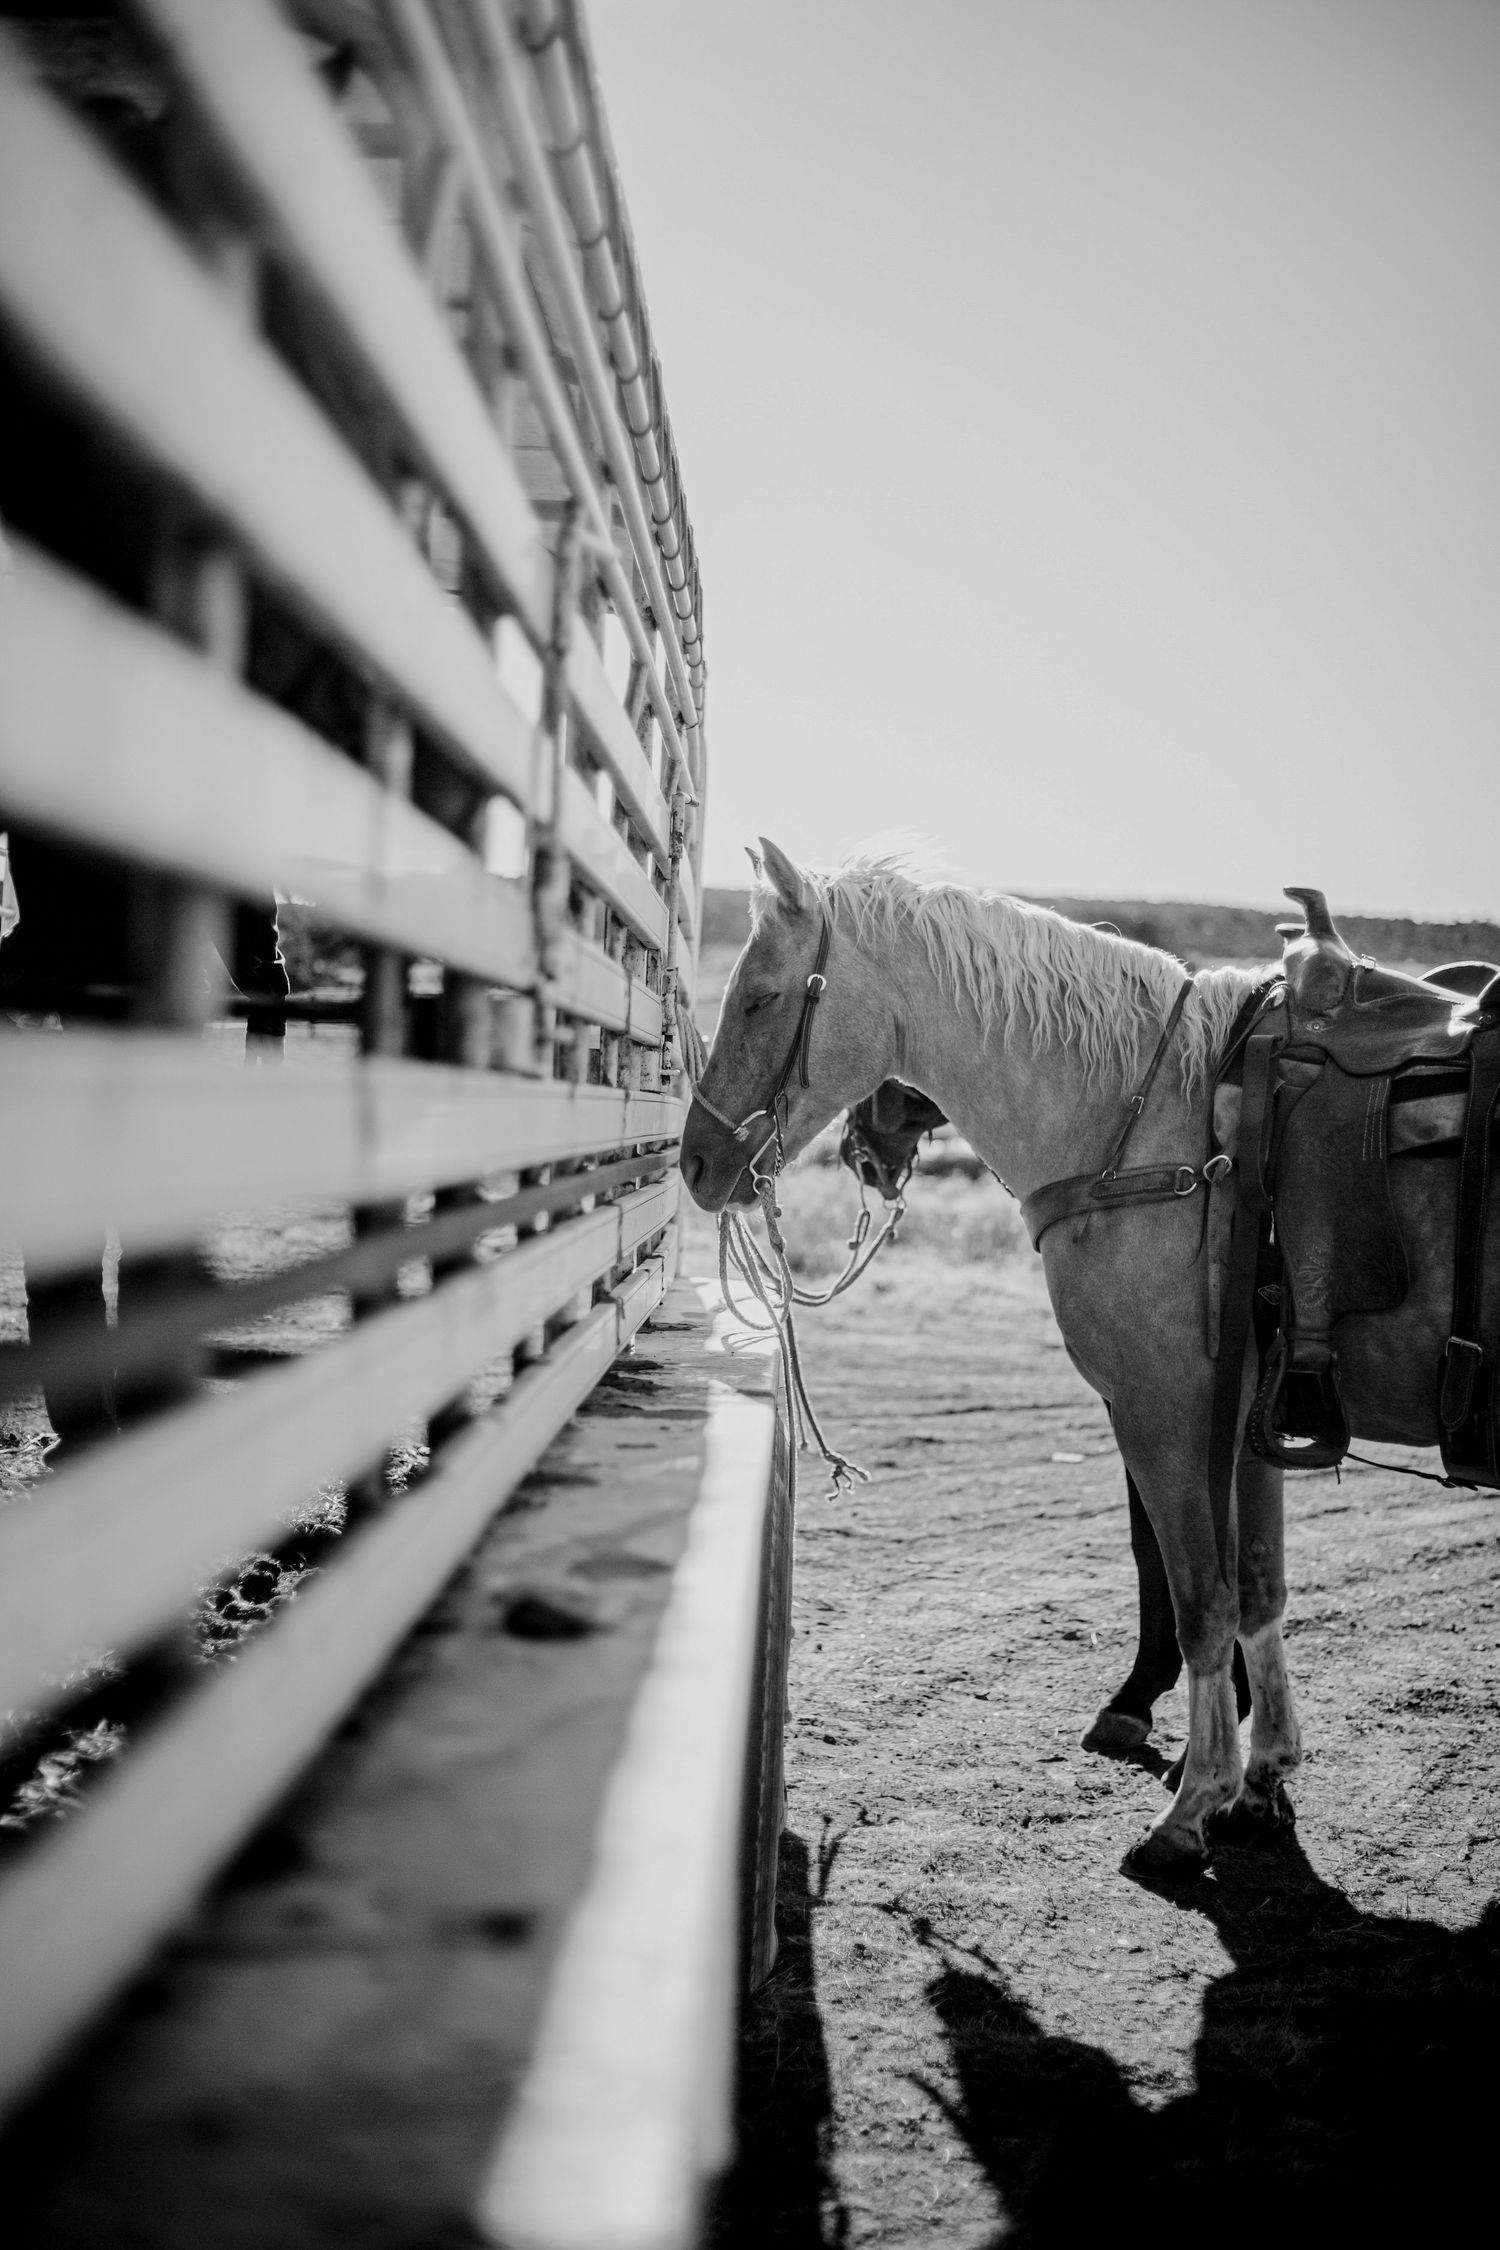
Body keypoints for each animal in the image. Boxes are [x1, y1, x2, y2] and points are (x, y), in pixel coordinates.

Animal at [681, 840, 1497, 1875]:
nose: (694, 1163)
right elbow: (1259, 1590)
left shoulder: (1162, 1409)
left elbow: (1197, 1598)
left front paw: (1191, 1801)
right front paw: (1263, 1776)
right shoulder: (1248, 1423)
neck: (1166, 1131)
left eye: (759, 997)